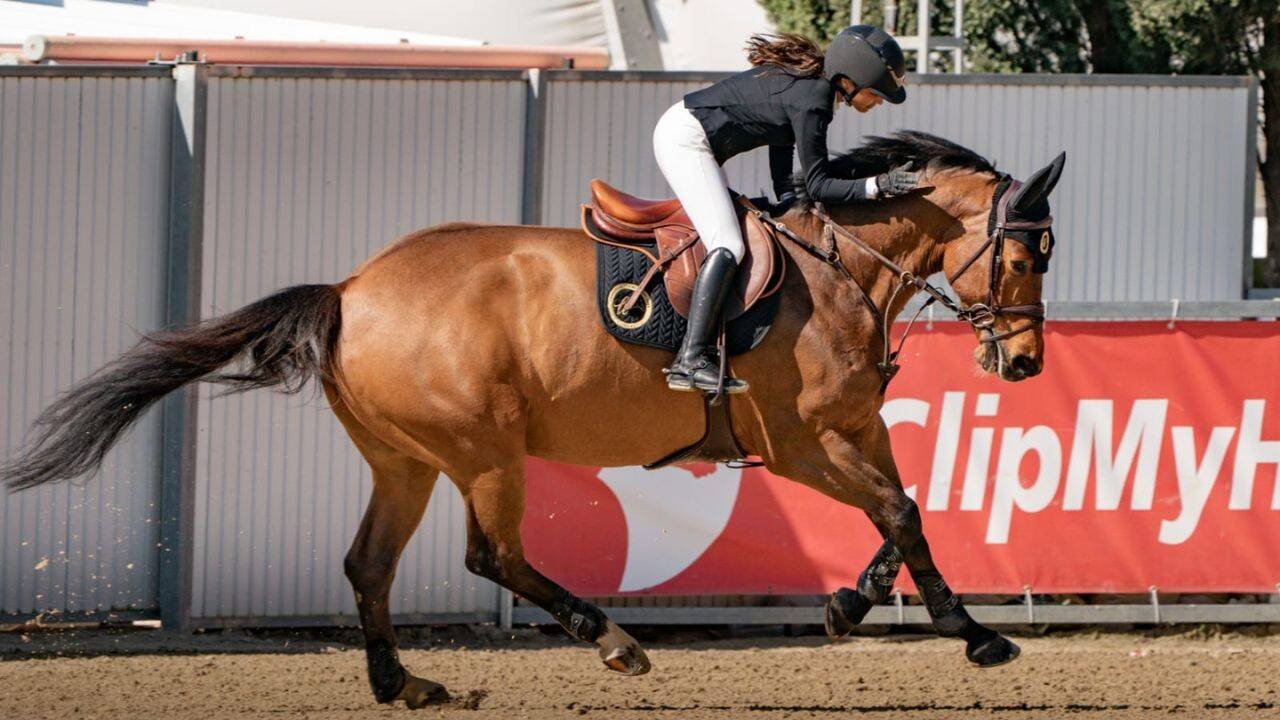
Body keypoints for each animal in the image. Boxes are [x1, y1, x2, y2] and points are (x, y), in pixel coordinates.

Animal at [2, 131, 1066, 708]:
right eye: (1025, 256)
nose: (1024, 363)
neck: (839, 266)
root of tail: (351, 289)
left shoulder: (853, 431)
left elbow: (904, 517)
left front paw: (854, 605)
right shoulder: (802, 442)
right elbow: (900, 513)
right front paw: (976, 636)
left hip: (405, 462)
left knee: (369, 565)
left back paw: (405, 684)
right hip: (483, 453)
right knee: (493, 556)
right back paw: (613, 639)